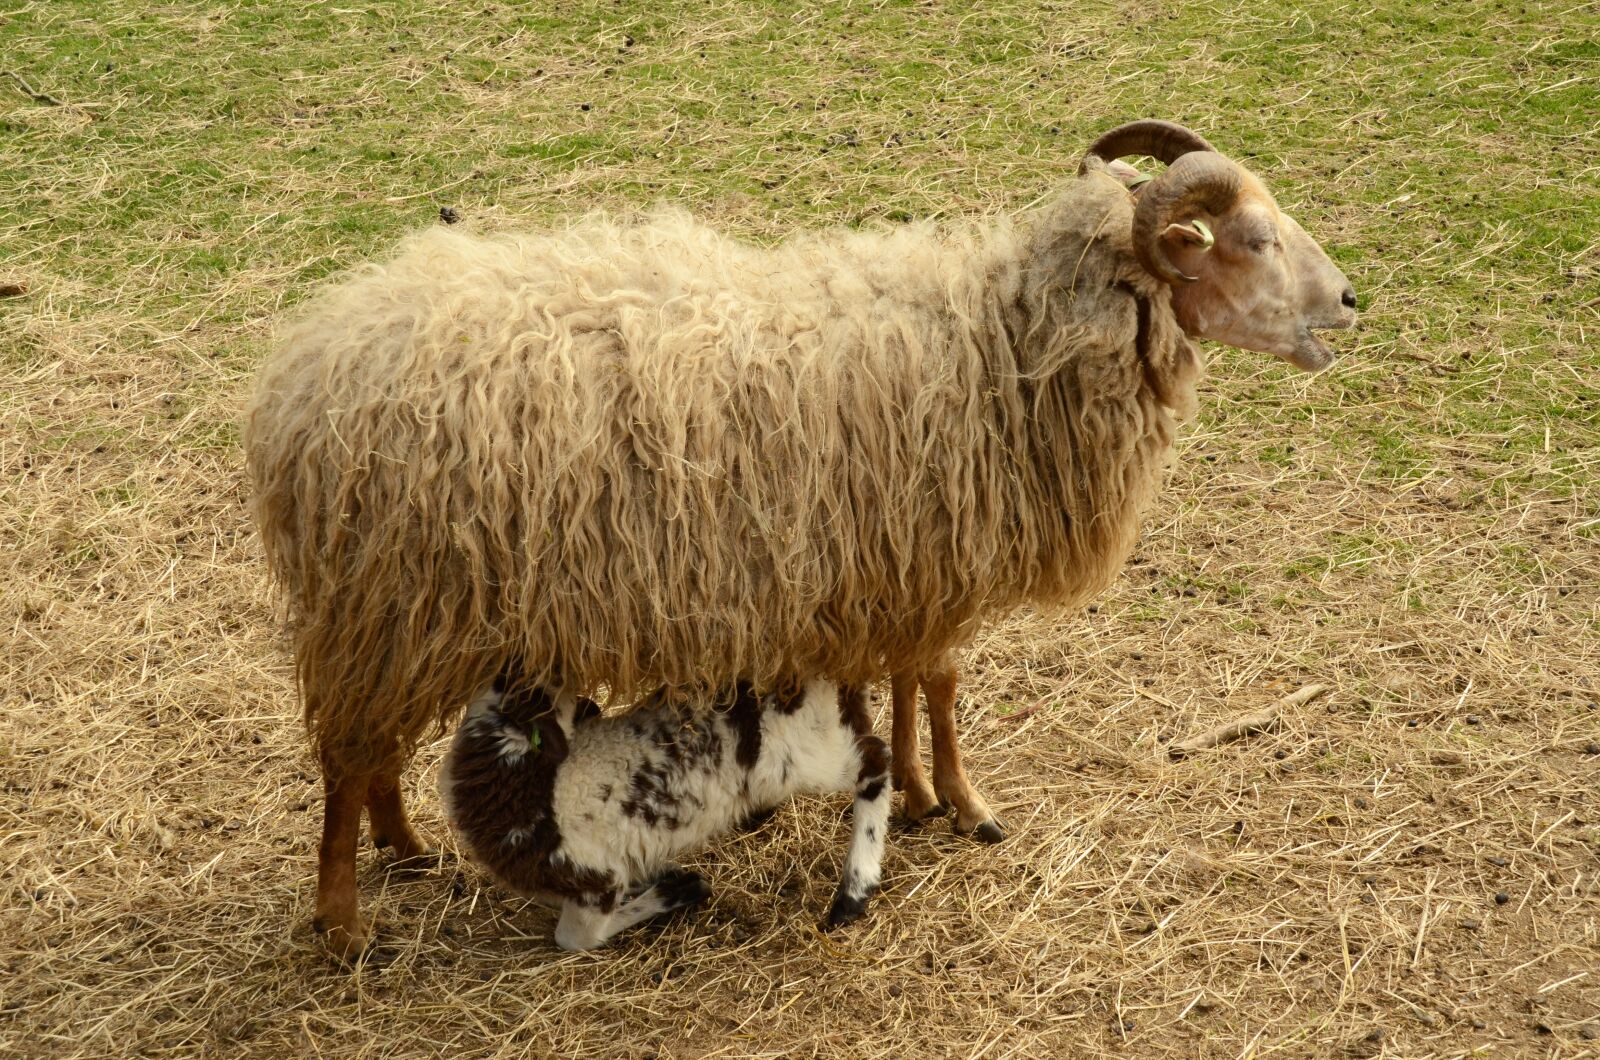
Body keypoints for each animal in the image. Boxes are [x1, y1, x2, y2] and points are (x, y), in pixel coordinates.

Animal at [438, 677, 891, 949]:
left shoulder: (594, 881)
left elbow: (575, 938)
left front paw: (680, 891)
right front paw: (669, 880)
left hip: (801, 756)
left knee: (875, 762)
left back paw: (853, 892)